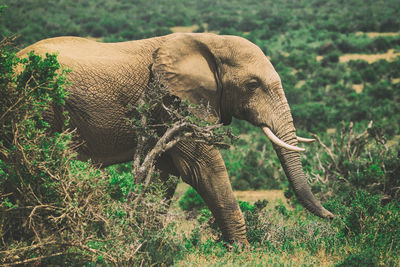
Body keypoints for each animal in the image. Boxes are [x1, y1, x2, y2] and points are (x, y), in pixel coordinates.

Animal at [17, 33, 332, 245]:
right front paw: (243, 250)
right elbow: (202, 166)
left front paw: (146, 241)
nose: (333, 217)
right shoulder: (173, 101)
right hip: (39, 102)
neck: (210, 42)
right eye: (253, 84)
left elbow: (166, 173)